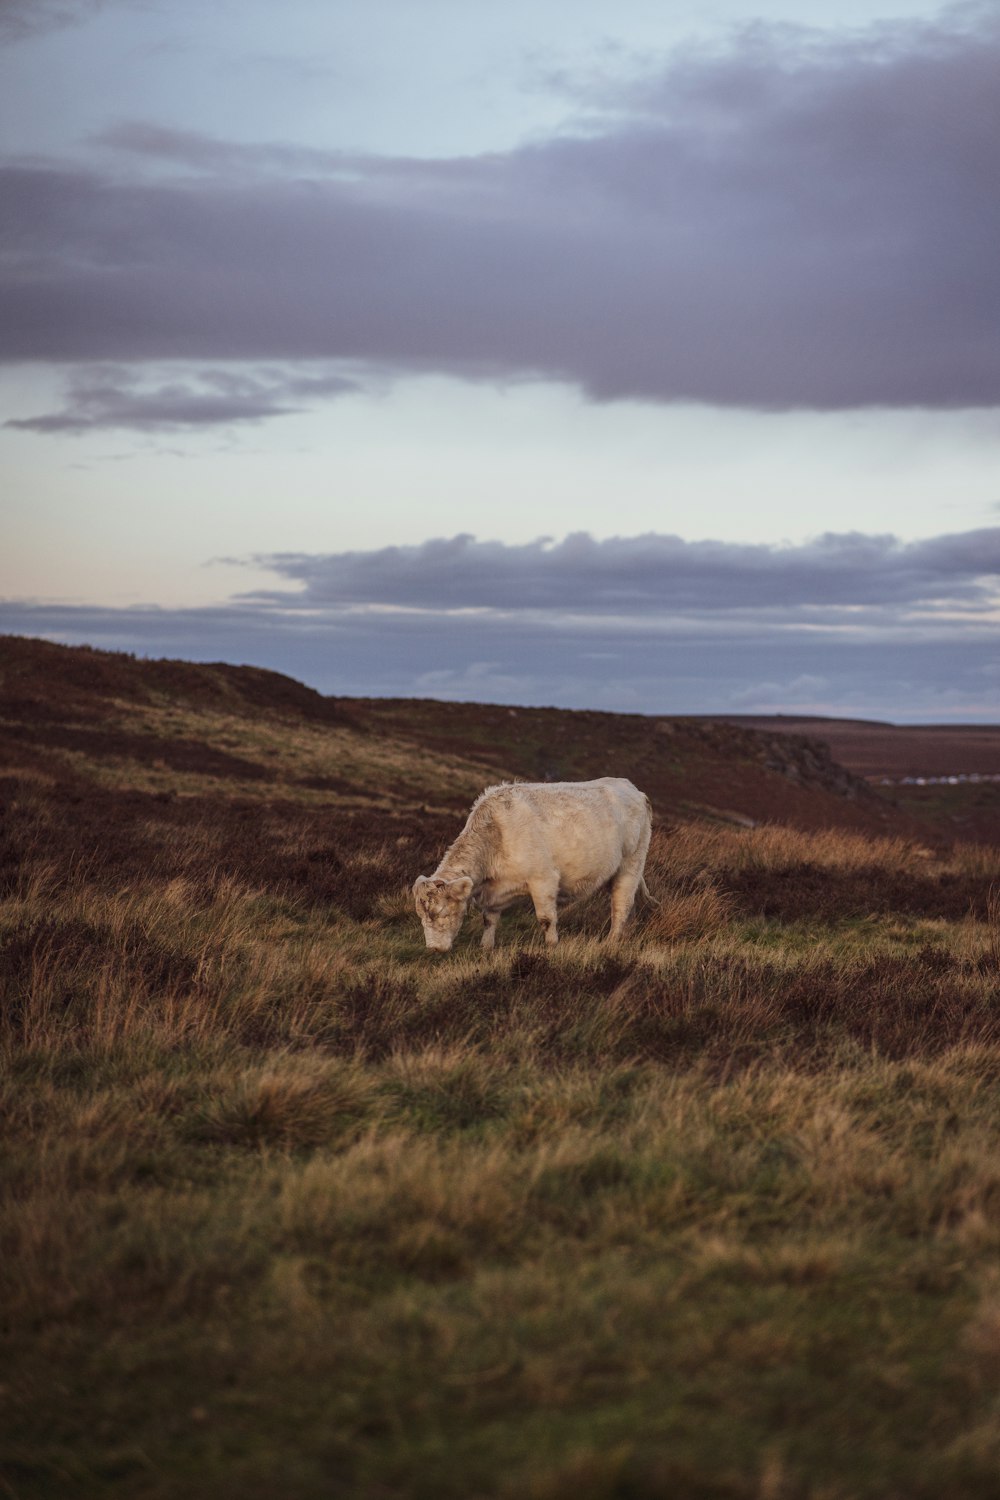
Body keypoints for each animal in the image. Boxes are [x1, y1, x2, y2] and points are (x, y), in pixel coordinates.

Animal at [413, 780, 653, 954]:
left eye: (442, 913)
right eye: (421, 916)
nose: (433, 949)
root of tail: (633, 789)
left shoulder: (543, 879)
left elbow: (546, 919)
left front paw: (552, 945)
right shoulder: (494, 892)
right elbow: (489, 919)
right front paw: (486, 946)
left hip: (631, 865)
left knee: (621, 905)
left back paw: (610, 942)